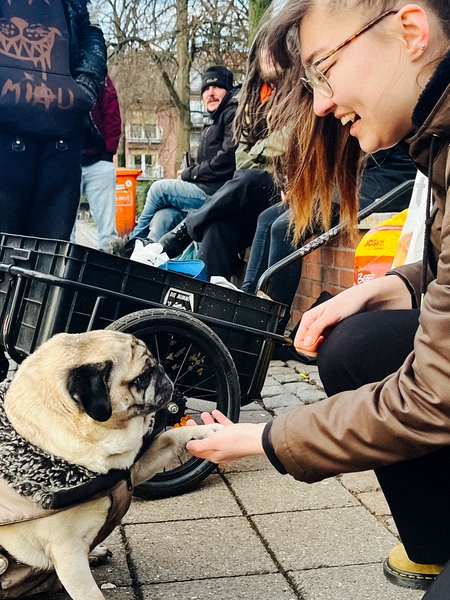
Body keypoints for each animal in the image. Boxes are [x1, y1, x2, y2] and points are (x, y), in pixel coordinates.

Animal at [0, 330, 220, 596]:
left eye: (155, 364)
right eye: (142, 377)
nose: (163, 372)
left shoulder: (132, 470)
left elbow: (171, 437)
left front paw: (207, 432)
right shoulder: (67, 553)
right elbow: (91, 594)